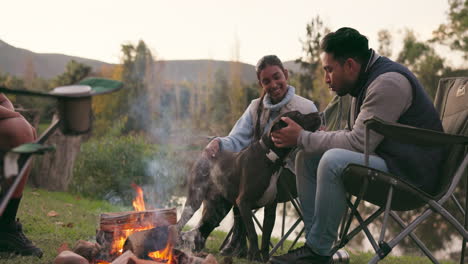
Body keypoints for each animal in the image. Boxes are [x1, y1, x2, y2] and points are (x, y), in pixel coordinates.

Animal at [176, 110, 322, 260]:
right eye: (298, 115)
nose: (318, 113)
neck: (270, 158)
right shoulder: (244, 203)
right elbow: (252, 233)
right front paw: (255, 257)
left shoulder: (270, 209)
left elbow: (265, 237)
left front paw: (264, 259)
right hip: (195, 201)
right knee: (180, 224)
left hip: (219, 207)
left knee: (204, 227)